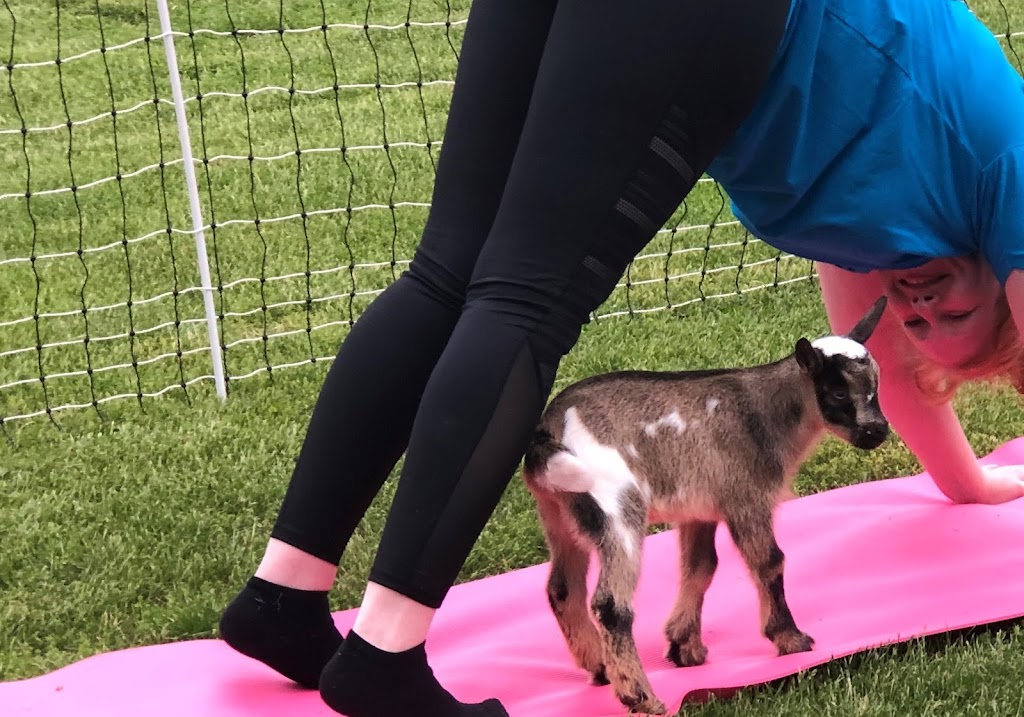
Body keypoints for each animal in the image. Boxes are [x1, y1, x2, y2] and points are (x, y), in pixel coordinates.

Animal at [522, 297, 890, 715]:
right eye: (839, 393)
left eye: (877, 384)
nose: (877, 432)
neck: (767, 415)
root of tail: (550, 430)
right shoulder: (746, 497)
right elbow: (770, 561)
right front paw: (790, 639)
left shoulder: (698, 510)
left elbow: (700, 567)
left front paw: (685, 648)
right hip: (617, 505)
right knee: (610, 604)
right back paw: (641, 697)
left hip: (558, 511)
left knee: (562, 589)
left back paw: (600, 668)